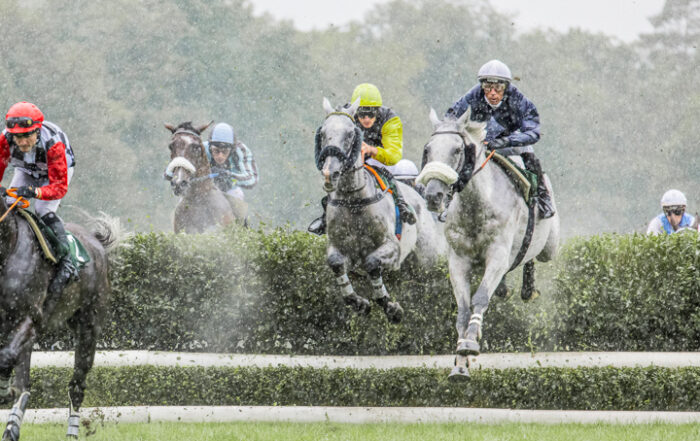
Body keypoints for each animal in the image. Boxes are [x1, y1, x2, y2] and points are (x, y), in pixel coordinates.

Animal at [0, 197, 121, 440]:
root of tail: (97, 243)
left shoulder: (29, 318)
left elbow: (5, 357)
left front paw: (3, 390)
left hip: (88, 328)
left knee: (76, 385)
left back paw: (72, 431)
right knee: (24, 383)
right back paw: (12, 426)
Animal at [318, 98, 448, 322]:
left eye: (350, 134)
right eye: (324, 133)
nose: (329, 174)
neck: (355, 203)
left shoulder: (392, 249)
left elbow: (371, 263)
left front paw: (392, 308)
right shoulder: (338, 248)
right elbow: (335, 263)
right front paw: (360, 302)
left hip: (428, 260)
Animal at [416, 107, 556, 378]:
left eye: (457, 150)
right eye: (428, 150)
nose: (433, 196)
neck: (476, 207)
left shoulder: (498, 255)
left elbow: (480, 297)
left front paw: (470, 342)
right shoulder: (458, 260)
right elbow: (463, 307)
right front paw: (460, 362)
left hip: (550, 246)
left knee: (534, 256)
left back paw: (528, 288)